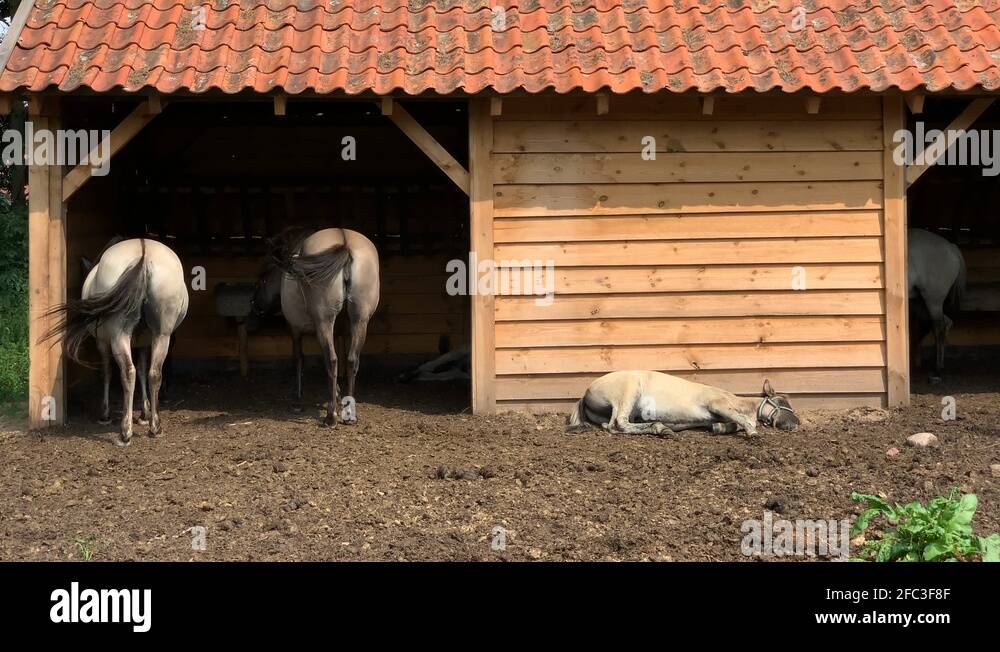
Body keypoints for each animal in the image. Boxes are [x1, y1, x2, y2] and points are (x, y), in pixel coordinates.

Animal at [44, 238, 189, 445]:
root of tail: (143, 254)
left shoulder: (102, 342)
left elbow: (107, 372)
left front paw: (105, 414)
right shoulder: (143, 343)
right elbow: (143, 370)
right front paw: (144, 413)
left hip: (119, 337)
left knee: (127, 372)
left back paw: (125, 432)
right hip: (162, 335)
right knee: (154, 373)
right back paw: (155, 427)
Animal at [254, 228, 380, 426]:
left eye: (263, 278)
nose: (255, 304)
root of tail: (344, 242)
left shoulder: (295, 329)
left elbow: (299, 359)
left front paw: (298, 402)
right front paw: (338, 397)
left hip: (324, 321)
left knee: (332, 360)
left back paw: (331, 416)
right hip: (360, 320)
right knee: (352, 360)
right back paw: (349, 412)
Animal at [567, 371, 799, 436]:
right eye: (781, 400)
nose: (796, 424)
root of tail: (587, 392)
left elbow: (728, 424)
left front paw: (719, 428)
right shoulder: (716, 404)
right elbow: (742, 420)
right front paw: (752, 431)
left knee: (612, 425)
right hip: (627, 393)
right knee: (619, 423)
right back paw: (659, 428)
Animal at [908, 228, 967, 382]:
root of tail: (951, 247)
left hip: (933, 300)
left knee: (939, 326)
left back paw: (937, 370)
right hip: (922, 302)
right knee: (944, 323)